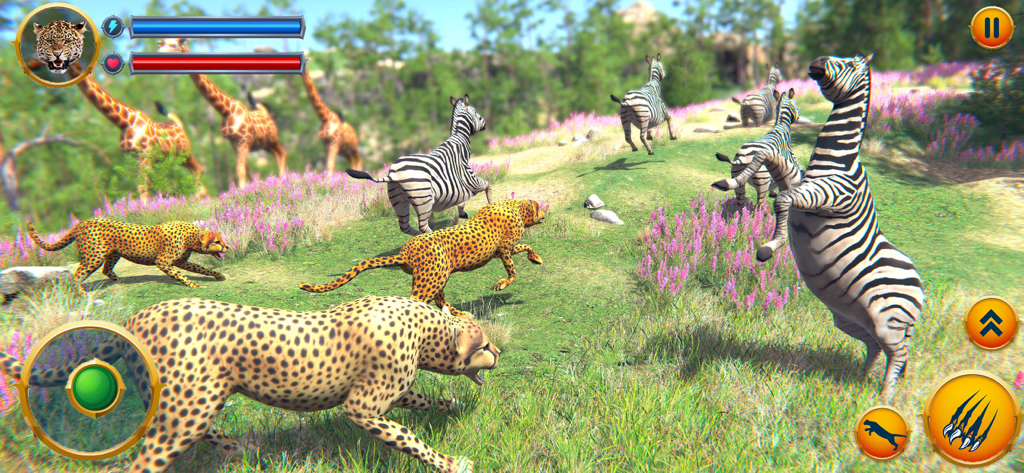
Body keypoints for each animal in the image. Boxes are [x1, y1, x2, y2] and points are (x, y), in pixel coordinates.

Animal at [0, 296, 495, 472]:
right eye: (485, 343)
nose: (499, 353)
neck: (424, 327)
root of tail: (134, 319)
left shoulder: (384, 393)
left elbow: (423, 399)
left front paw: (452, 407)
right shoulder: (362, 406)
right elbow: (411, 440)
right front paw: (452, 462)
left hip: (188, 403)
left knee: (205, 432)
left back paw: (242, 449)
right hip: (185, 411)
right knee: (145, 461)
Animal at [27, 218, 229, 289]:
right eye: (217, 242)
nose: (227, 247)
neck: (191, 237)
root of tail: (81, 223)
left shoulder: (181, 262)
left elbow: (200, 268)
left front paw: (218, 275)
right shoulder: (163, 262)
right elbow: (181, 275)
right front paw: (192, 284)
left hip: (113, 254)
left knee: (106, 270)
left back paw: (119, 281)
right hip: (94, 257)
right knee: (77, 276)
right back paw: (82, 295)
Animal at [300, 199, 547, 318]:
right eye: (539, 207)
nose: (545, 213)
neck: (515, 206)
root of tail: (405, 251)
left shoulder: (500, 250)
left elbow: (525, 247)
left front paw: (536, 258)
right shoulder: (504, 249)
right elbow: (512, 271)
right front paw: (501, 284)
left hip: (436, 278)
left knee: (440, 302)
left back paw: (459, 316)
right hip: (432, 280)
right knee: (416, 302)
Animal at [346, 94, 492, 236]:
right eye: (475, 112)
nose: (485, 124)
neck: (460, 141)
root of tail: (393, 174)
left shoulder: (459, 184)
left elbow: (463, 200)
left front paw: (463, 213)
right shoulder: (468, 178)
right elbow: (487, 185)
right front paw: (492, 207)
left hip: (399, 201)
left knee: (404, 227)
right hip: (424, 199)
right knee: (422, 225)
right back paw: (433, 238)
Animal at [754, 52, 924, 401]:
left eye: (849, 63)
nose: (817, 61)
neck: (837, 159)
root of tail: (920, 284)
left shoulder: (829, 197)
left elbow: (782, 201)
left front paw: (769, 247)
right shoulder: (801, 185)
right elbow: (782, 193)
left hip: (890, 320)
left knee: (899, 354)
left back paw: (884, 398)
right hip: (851, 319)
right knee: (876, 347)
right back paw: (860, 380)